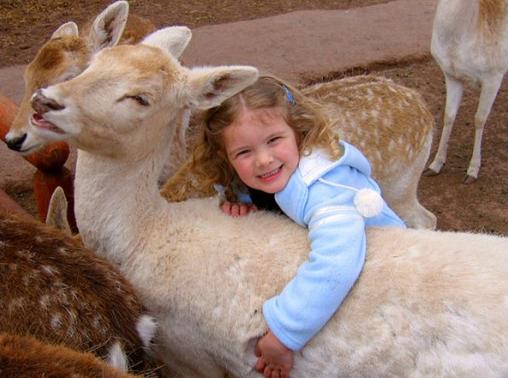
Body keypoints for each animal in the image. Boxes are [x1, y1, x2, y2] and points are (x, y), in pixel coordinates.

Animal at [424, 0, 508, 183]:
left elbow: (479, 119)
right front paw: (434, 165)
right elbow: (448, 116)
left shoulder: (494, 76)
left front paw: (472, 171)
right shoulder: (451, 75)